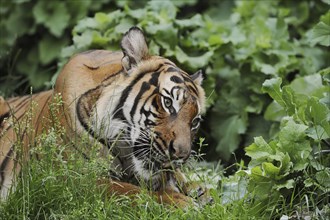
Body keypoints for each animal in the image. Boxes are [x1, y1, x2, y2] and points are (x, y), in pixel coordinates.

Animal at [0, 26, 211, 207]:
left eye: (195, 122)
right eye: (168, 103)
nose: (181, 156)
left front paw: (198, 190)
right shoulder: (70, 178)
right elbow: (128, 191)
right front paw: (178, 201)